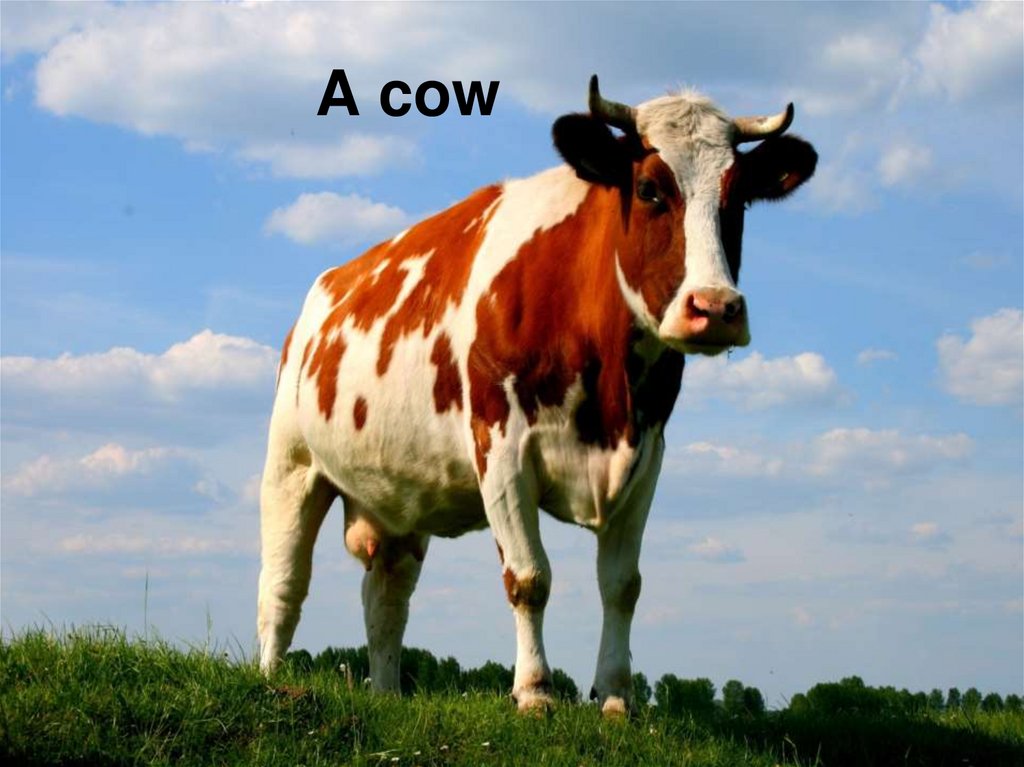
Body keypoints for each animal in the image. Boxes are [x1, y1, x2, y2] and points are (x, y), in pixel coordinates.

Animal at [258, 75, 817, 715]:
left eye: (740, 199)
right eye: (649, 189)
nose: (717, 307)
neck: (610, 402)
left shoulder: (648, 455)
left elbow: (622, 586)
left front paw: (615, 698)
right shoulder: (500, 447)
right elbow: (529, 579)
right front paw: (534, 691)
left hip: (399, 497)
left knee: (386, 598)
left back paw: (387, 692)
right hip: (292, 463)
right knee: (283, 583)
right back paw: (271, 680)